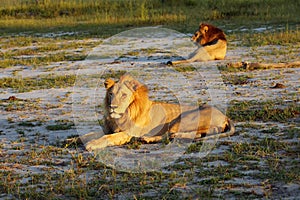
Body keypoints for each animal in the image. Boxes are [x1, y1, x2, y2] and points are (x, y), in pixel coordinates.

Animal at [85, 75, 234, 150]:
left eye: (124, 95)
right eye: (111, 94)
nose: (112, 107)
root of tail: (225, 116)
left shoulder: (129, 133)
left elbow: (108, 137)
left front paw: (92, 144)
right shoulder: (108, 129)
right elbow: (90, 134)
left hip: (182, 120)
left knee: (179, 135)